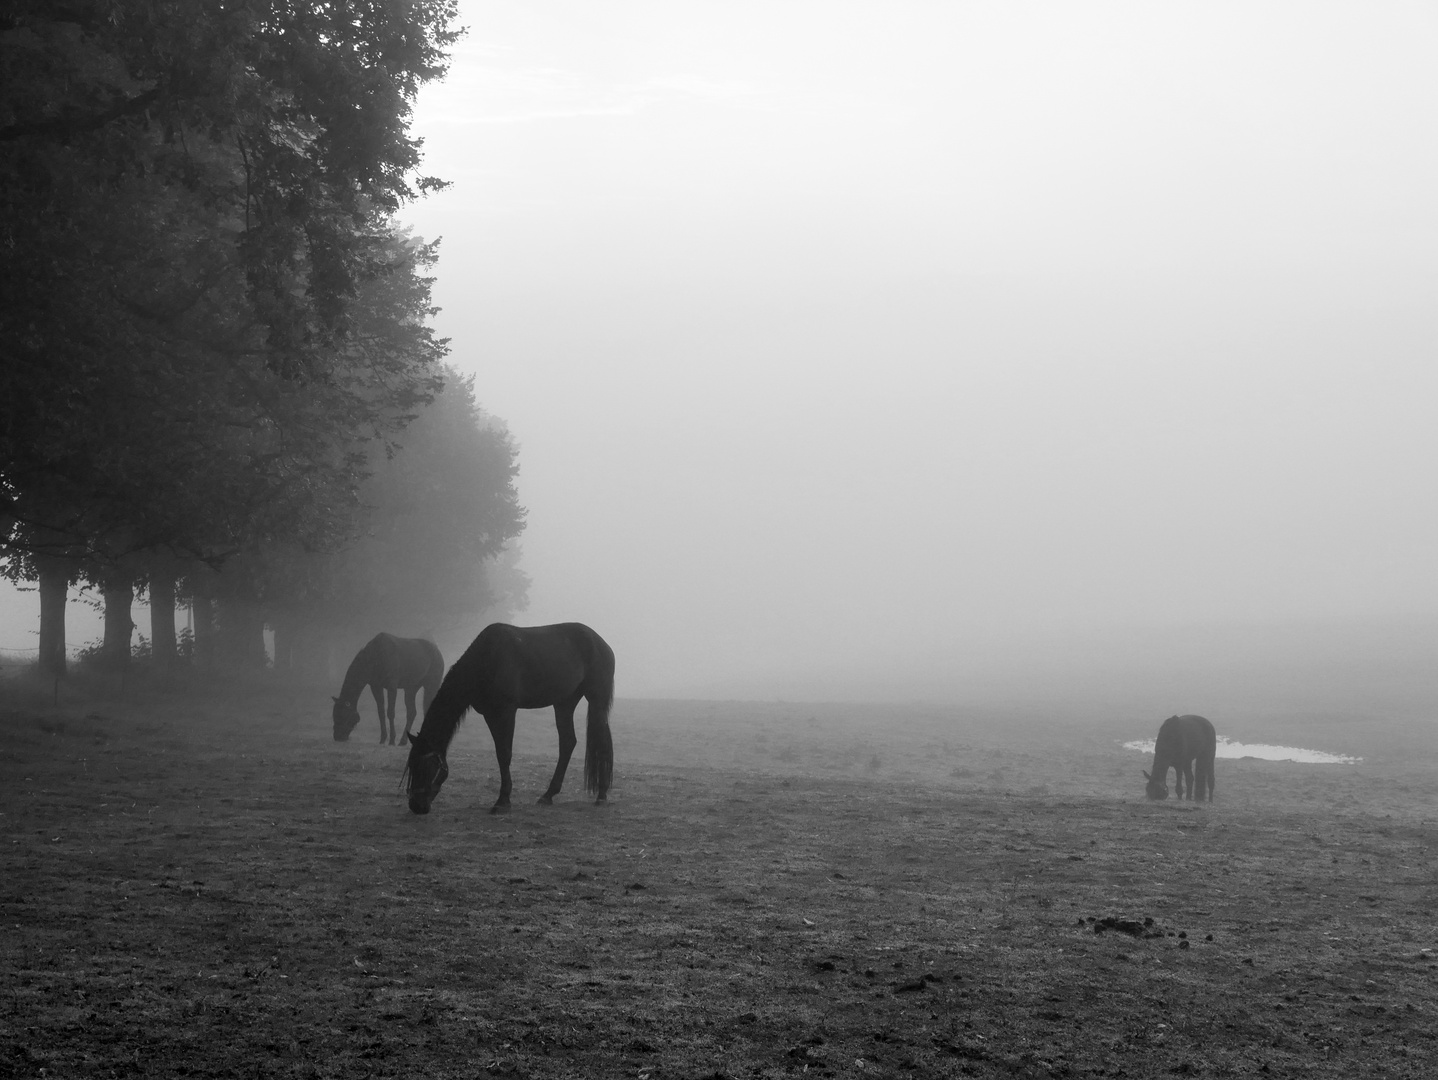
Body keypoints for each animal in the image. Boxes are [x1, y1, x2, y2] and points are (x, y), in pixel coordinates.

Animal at [402, 621, 615, 816]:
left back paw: (602, 796)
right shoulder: (490, 713)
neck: (487, 659)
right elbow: (499, 753)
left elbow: (505, 753)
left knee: (601, 742)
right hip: (564, 703)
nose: (416, 806)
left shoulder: (506, 711)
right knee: (567, 742)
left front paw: (502, 801)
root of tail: (602, 644)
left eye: (425, 767)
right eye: (411, 766)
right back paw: (548, 795)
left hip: (596, 700)